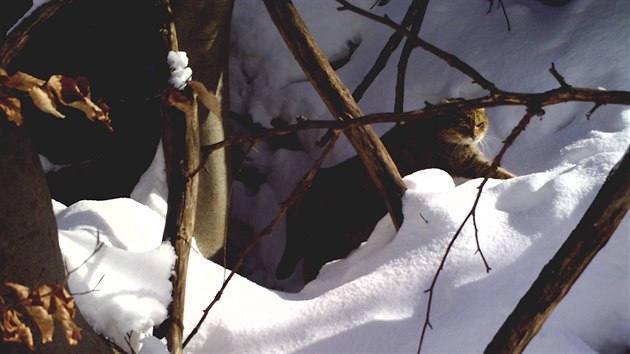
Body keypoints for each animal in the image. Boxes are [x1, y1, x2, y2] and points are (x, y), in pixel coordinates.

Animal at [278, 104, 516, 282]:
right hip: (328, 243)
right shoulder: (468, 163)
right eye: (464, 124)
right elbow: (500, 173)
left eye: (480, 123)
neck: (433, 126)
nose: (475, 135)